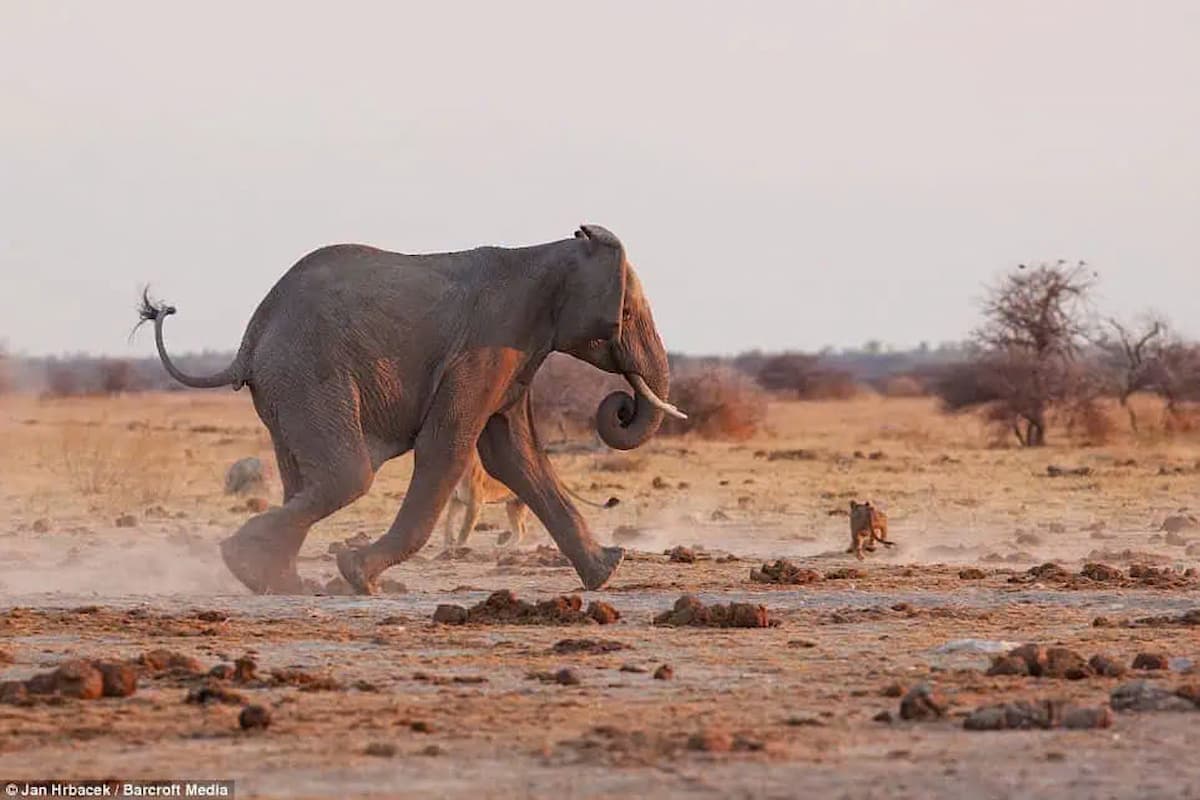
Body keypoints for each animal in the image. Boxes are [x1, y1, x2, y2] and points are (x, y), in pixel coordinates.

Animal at [138, 225, 686, 594]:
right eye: (627, 315)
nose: (619, 407)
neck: (550, 252)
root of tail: (248, 342)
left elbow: (514, 455)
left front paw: (606, 572)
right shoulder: (485, 346)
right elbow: (449, 448)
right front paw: (359, 576)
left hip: (286, 388)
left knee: (308, 482)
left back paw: (277, 582)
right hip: (308, 374)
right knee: (348, 478)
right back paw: (248, 565)